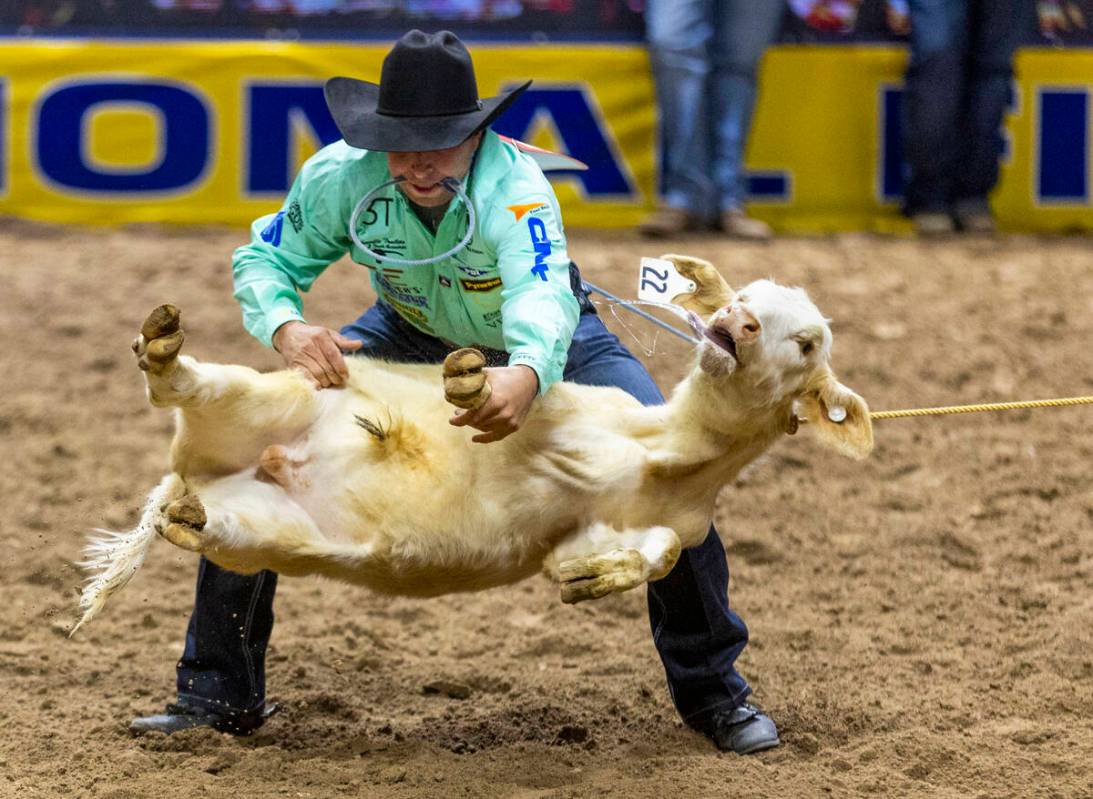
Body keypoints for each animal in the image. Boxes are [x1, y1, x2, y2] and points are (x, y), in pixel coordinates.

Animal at [72, 254, 874, 629]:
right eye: (745, 298)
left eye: (807, 341)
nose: (735, 324)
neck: (663, 450)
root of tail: (195, 468)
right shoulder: (566, 406)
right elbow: (523, 403)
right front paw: (472, 389)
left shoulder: (630, 526)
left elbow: (659, 552)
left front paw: (601, 575)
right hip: (268, 392)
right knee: (179, 386)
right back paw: (165, 348)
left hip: (262, 529)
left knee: (203, 523)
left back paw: (190, 515)